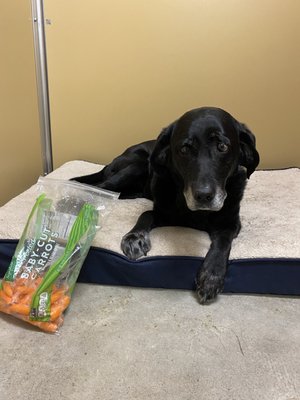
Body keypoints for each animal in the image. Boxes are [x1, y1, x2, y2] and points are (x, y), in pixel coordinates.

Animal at [74, 107, 258, 304]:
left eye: (222, 147)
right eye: (184, 149)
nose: (203, 196)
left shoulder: (230, 224)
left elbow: (222, 243)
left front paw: (211, 276)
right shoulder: (163, 212)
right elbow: (146, 214)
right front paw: (135, 237)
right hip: (137, 165)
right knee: (98, 187)